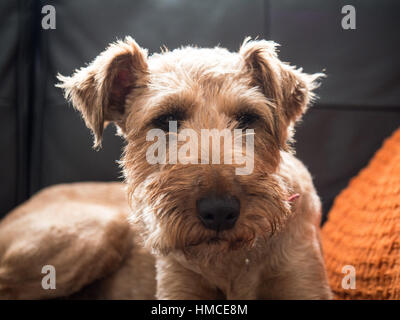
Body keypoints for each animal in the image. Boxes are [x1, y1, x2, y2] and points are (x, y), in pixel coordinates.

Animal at [0, 37, 332, 300]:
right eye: (165, 120)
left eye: (248, 118)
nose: (219, 211)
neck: (233, 260)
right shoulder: (178, 285)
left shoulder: (304, 282)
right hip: (99, 230)